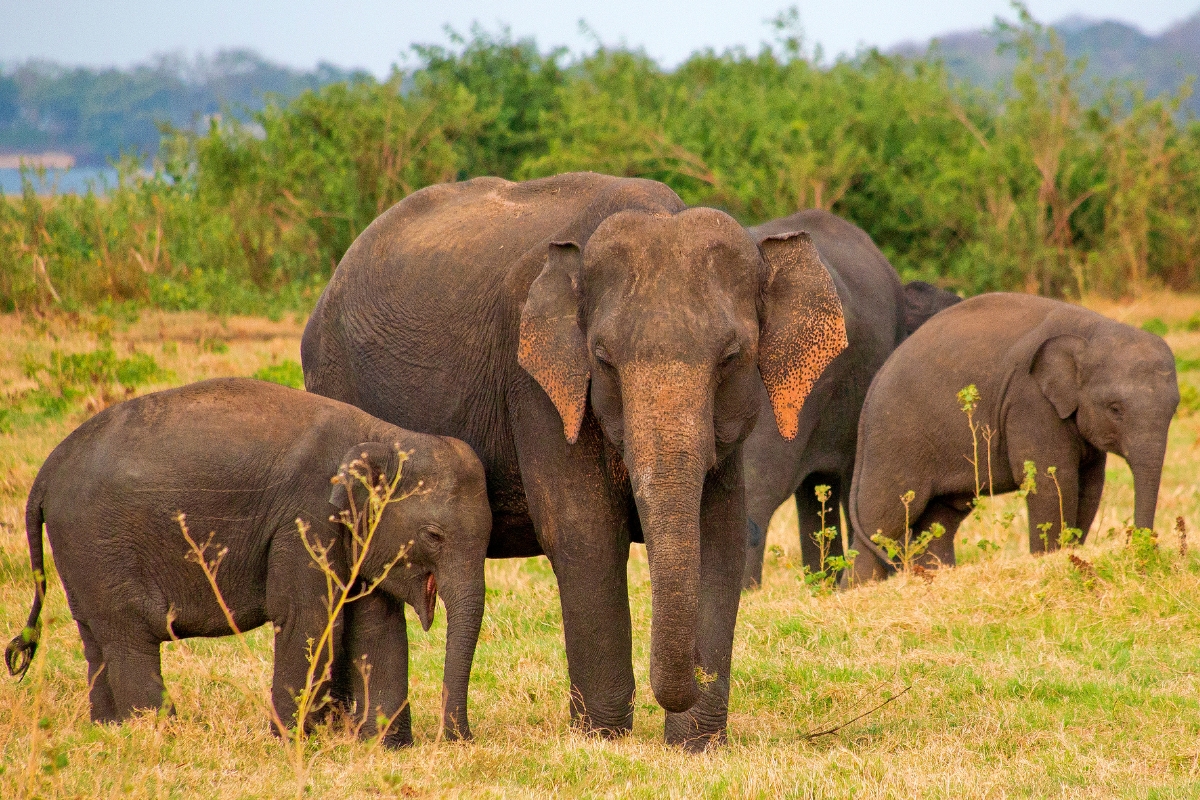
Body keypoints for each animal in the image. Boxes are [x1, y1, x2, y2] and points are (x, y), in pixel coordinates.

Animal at [4, 378, 491, 745]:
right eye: (434, 535)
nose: (459, 738)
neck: (383, 434)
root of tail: (45, 474)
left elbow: (377, 624)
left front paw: (382, 747)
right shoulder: (307, 518)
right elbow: (309, 618)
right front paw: (291, 742)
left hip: (80, 551)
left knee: (95, 635)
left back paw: (110, 730)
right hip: (98, 541)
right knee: (128, 632)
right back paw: (161, 733)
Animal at [301, 172, 847, 750]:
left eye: (731, 357)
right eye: (603, 359)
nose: (688, 684)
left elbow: (719, 535)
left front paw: (695, 746)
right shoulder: (538, 389)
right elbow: (585, 533)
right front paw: (602, 738)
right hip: (337, 383)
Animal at [847, 293, 1179, 583]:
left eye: (1174, 408)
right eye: (1115, 409)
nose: (1141, 551)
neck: (1093, 329)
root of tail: (872, 388)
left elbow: (1090, 486)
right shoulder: (1029, 401)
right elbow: (1052, 482)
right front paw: (1052, 560)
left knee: (940, 519)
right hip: (895, 439)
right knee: (884, 521)